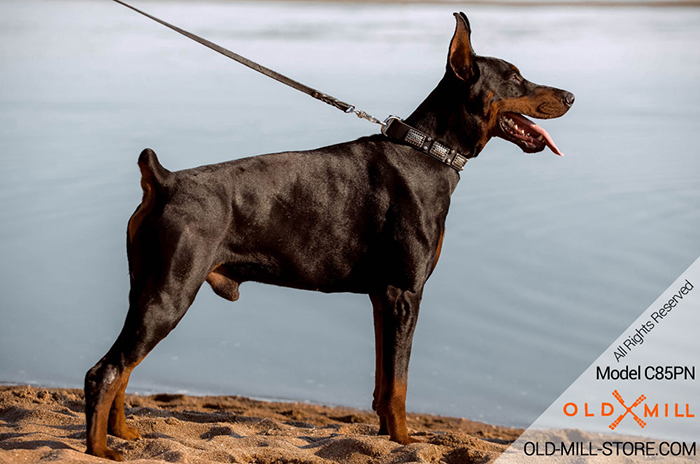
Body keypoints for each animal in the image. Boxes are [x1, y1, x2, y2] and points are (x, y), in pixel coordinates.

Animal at [85, 14, 572, 460]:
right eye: (515, 77)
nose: (570, 95)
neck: (428, 152)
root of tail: (164, 179)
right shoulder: (405, 293)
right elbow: (399, 385)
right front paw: (404, 442)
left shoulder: (383, 297)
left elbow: (383, 383)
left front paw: (386, 437)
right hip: (170, 292)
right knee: (106, 371)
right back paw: (99, 449)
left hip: (145, 289)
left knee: (123, 370)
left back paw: (124, 436)